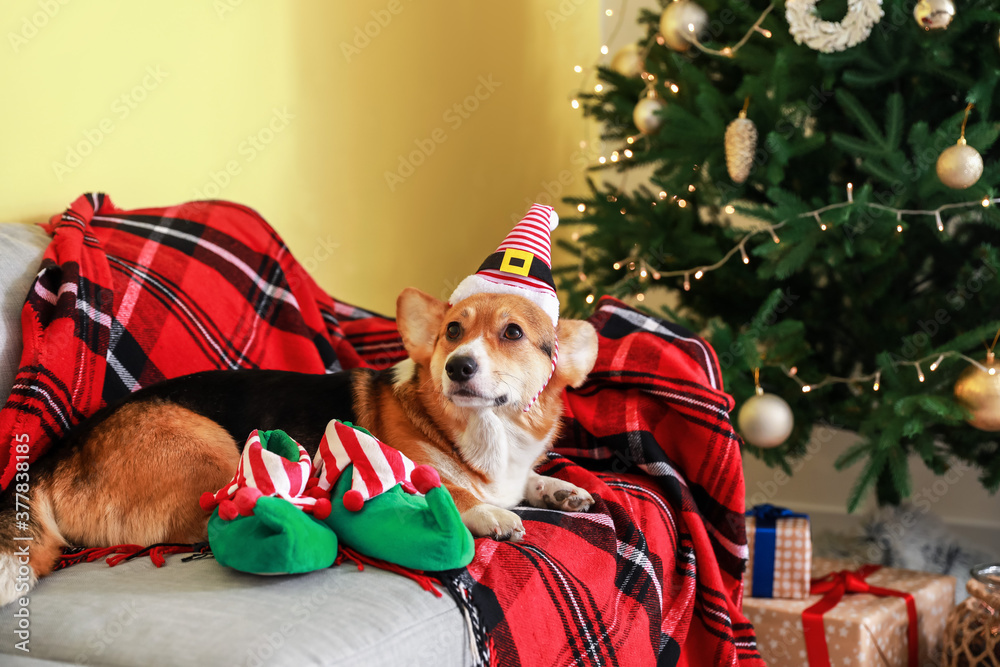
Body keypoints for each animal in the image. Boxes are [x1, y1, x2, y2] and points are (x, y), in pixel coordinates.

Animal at [0, 288, 596, 604]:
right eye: (452, 331)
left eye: (513, 333)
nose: (458, 367)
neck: (485, 432)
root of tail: (54, 458)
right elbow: (454, 489)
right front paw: (492, 514)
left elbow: (530, 480)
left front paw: (559, 490)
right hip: (216, 450)